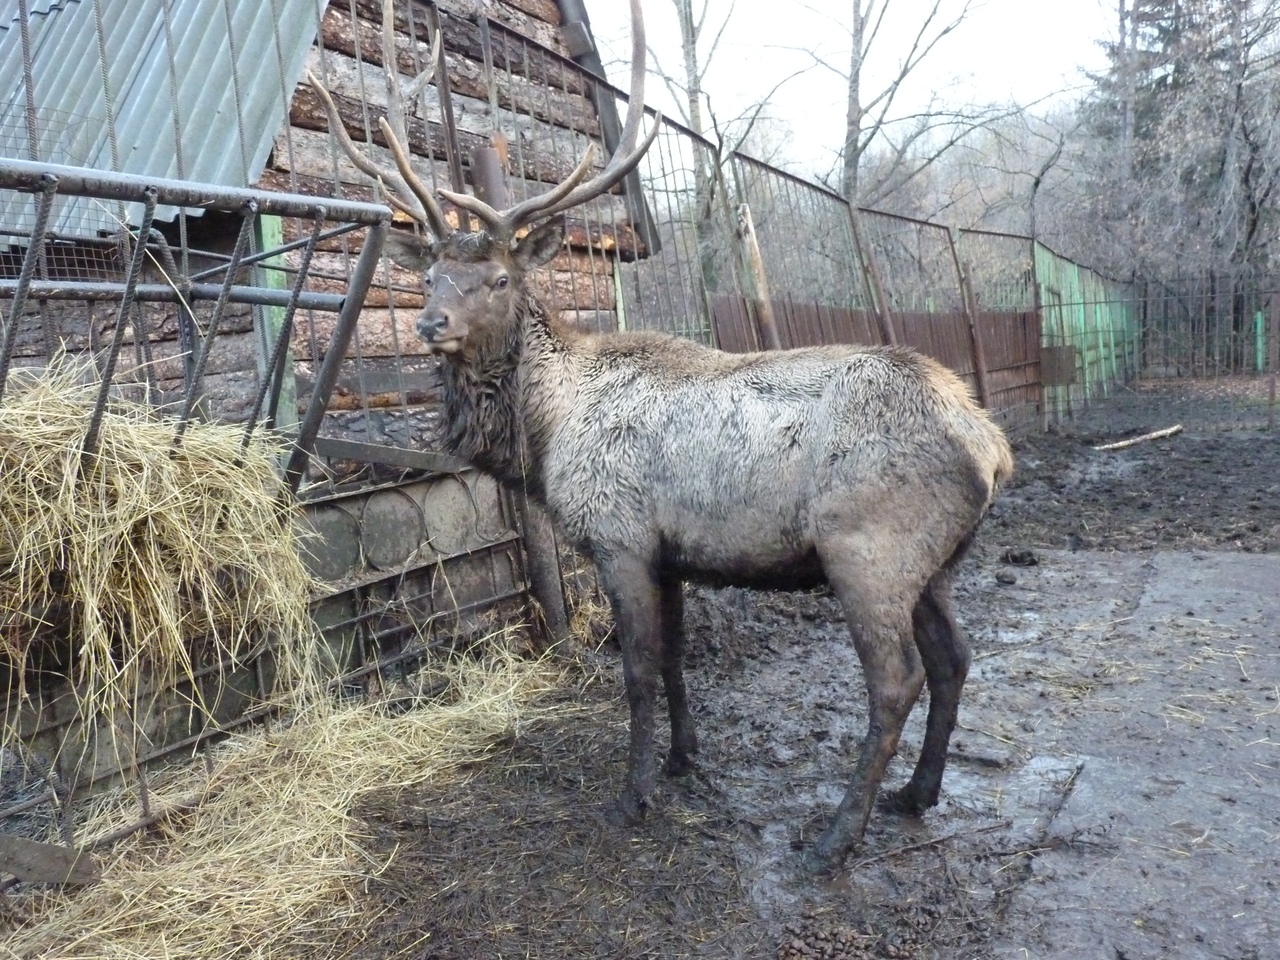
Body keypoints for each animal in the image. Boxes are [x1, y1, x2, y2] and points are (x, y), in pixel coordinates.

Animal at [309, 0, 1008, 875]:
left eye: (499, 277)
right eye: (432, 275)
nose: (431, 323)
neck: (545, 435)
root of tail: (993, 446)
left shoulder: (620, 537)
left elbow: (637, 672)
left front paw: (633, 794)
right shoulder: (671, 554)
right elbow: (675, 662)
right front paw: (681, 759)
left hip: (868, 548)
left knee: (896, 681)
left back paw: (833, 836)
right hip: (937, 562)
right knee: (956, 659)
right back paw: (917, 794)